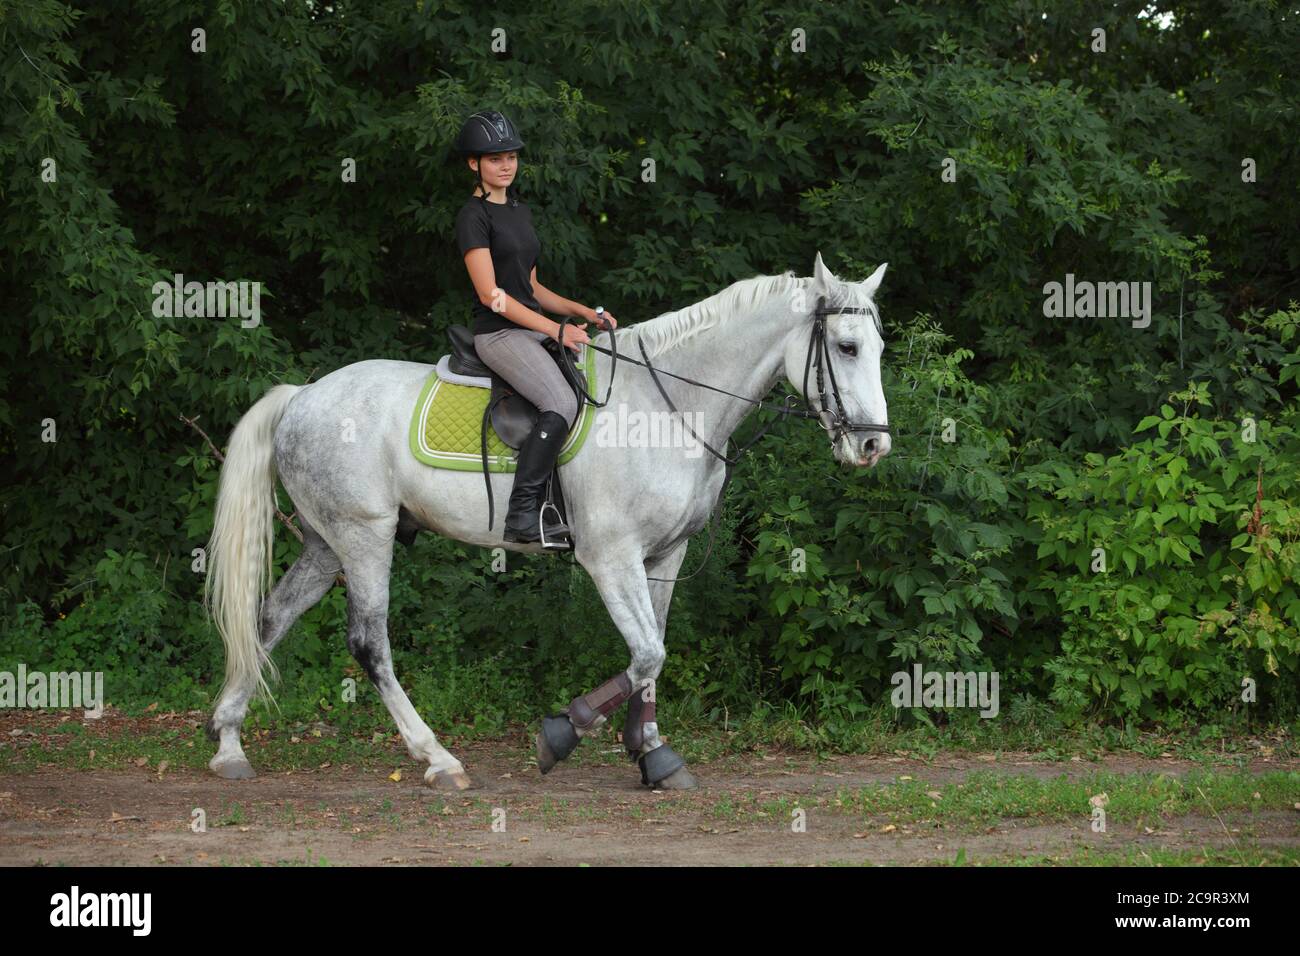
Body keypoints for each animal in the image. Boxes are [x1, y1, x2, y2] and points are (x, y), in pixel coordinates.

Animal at [202, 251, 892, 790]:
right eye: (847, 347)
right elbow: (647, 652)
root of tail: (301, 395)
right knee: (369, 644)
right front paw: (563, 733)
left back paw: (229, 743)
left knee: (270, 617)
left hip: (325, 543)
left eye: (879, 348)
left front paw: (653, 755)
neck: (670, 405)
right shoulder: (610, 556)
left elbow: (654, 654)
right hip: (364, 535)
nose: (873, 447)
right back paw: (437, 758)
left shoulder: (663, 556)